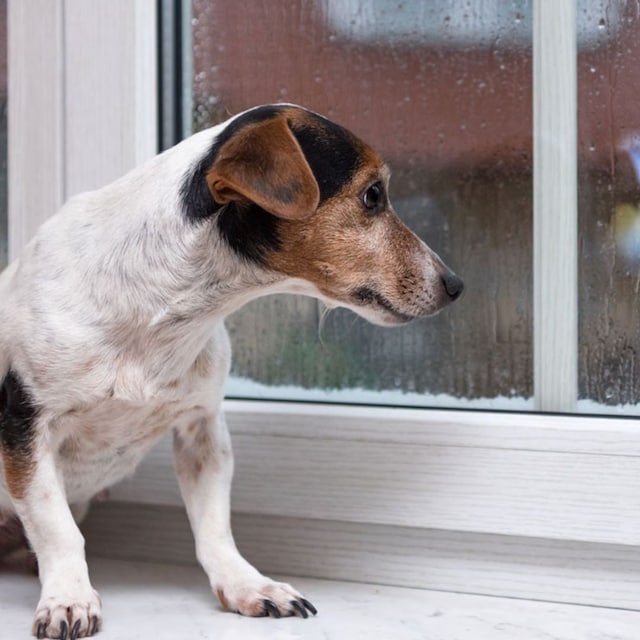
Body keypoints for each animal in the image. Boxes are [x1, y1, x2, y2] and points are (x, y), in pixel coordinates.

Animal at [0, 102, 460, 636]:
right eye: (372, 195)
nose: (456, 285)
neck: (165, 313)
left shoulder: (203, 431)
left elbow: (214, 527)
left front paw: (247, 586)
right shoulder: (27, 429)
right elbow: (58, 528)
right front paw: (70, 599)